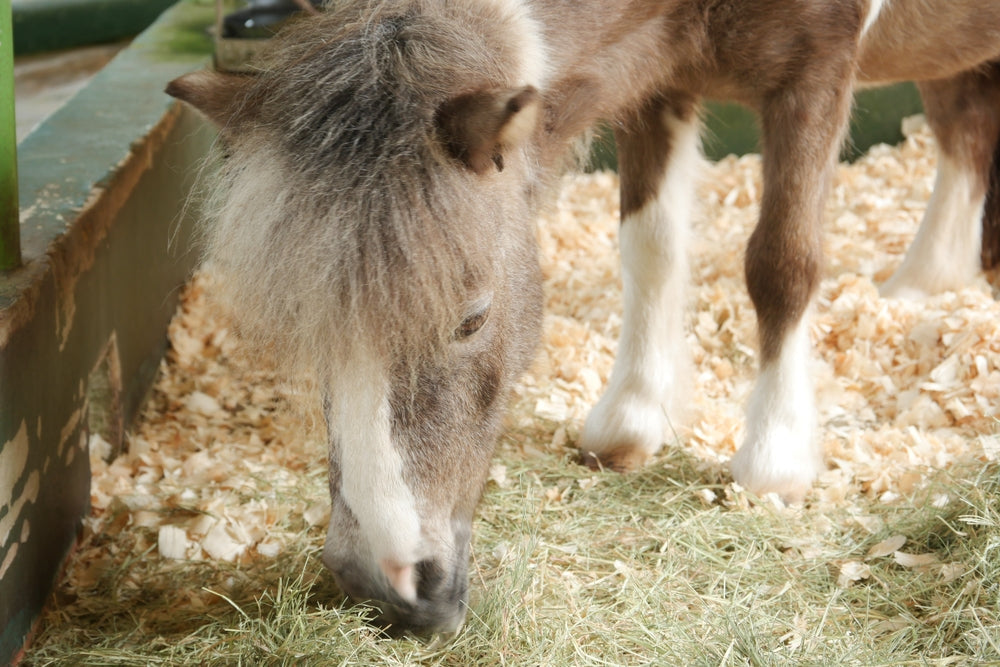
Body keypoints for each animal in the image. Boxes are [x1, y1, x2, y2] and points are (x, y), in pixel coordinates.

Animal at [167, 0, 1000, 636]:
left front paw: (775, 458)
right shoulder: (654, 75)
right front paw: (633, 417)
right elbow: (650, 246)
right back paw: (926, 285)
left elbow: (782, 261)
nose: (383, 580)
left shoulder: (816, 66)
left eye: (471, 319)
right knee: (964, 122)